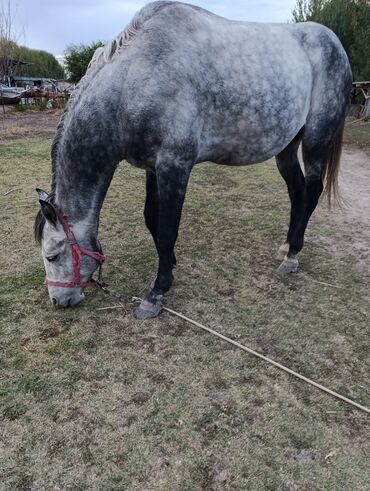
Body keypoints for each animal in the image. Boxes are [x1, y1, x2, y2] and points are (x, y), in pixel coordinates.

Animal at [34, 0, 352, 320]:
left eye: (53, 255)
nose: (58, 301)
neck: (134, 78)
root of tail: (334, 43)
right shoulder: (153, 166)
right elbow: (152, 218)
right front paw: (170, 266)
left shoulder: (175, 166)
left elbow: (167, 229)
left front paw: (156, 293)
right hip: (287, 147)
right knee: (297, 192)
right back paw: (285, 247)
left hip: (315, 140)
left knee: (312, 190)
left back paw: (293, 256)